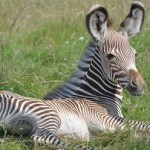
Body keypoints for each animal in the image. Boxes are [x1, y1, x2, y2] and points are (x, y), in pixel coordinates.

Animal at [0, 1, 149, 150]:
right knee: (42, 137)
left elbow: (138, 129)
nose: (140, 86)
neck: (97, 97)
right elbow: (142, 126)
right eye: (110, 56)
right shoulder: (105, 118)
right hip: (49, 114)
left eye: (135, 54)